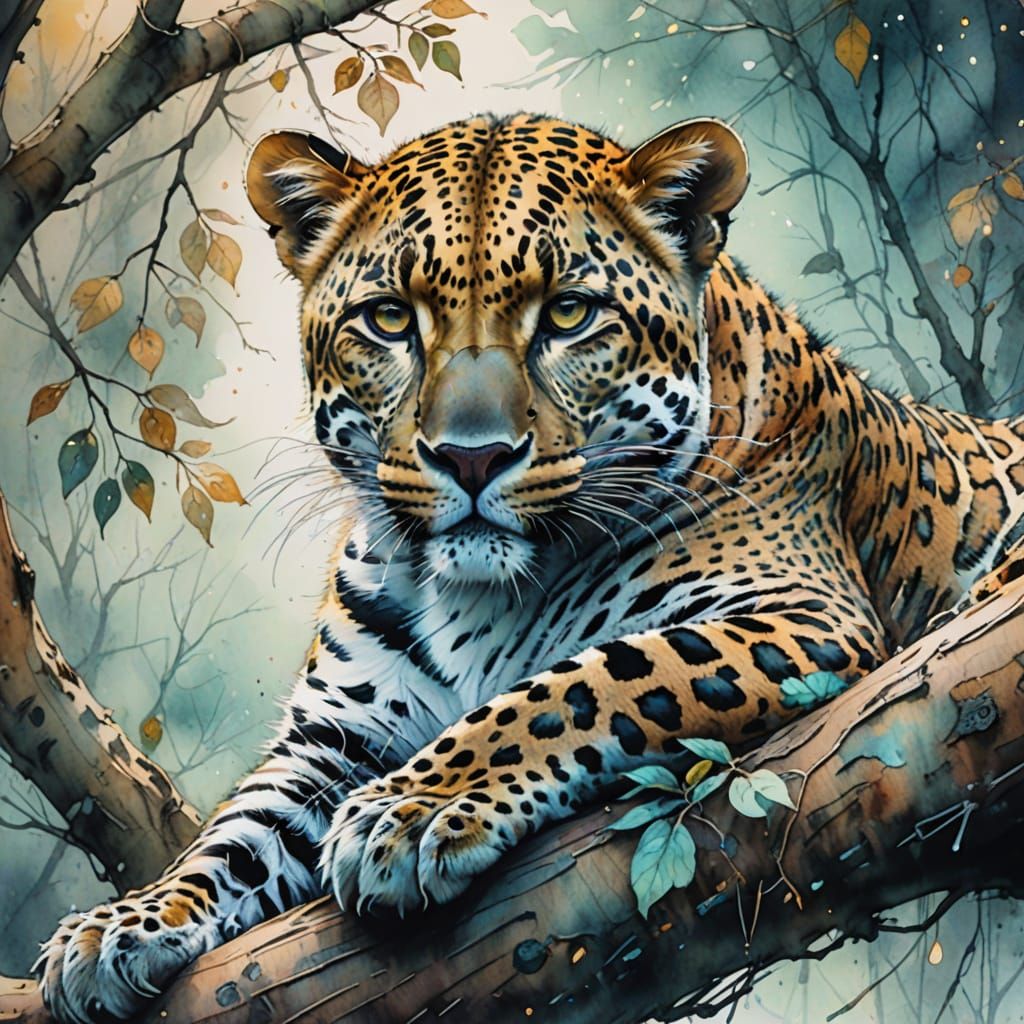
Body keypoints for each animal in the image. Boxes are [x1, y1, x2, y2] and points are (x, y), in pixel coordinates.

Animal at [37, 112, 1024, 1023]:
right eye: (389, 319)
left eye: (568, 313)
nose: (471, 457)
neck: (470, 594)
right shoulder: (334, 735)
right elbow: (233, 833)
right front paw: (120, 926)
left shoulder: (801, 612)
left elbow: (579, 683)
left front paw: (415, 809)